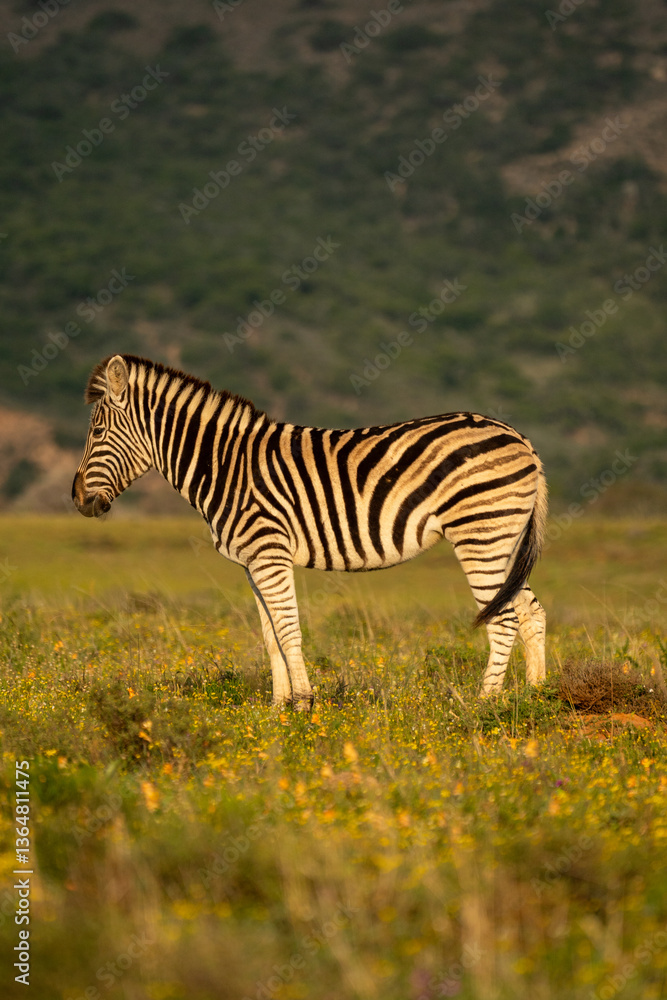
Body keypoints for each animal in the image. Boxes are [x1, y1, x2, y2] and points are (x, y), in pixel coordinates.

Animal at [72, 354, 548, 708]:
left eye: (97, 431)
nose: (76, 499)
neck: (226, 466)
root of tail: (520, 438)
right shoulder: (251, 563)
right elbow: (269, 636)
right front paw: (277, 709)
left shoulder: (268, 552)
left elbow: (287, 629)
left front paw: (303, 703)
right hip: (501, 540)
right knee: (530, 610)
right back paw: (536, 698)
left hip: (480, 534)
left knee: (503, 617)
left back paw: (484, 705)